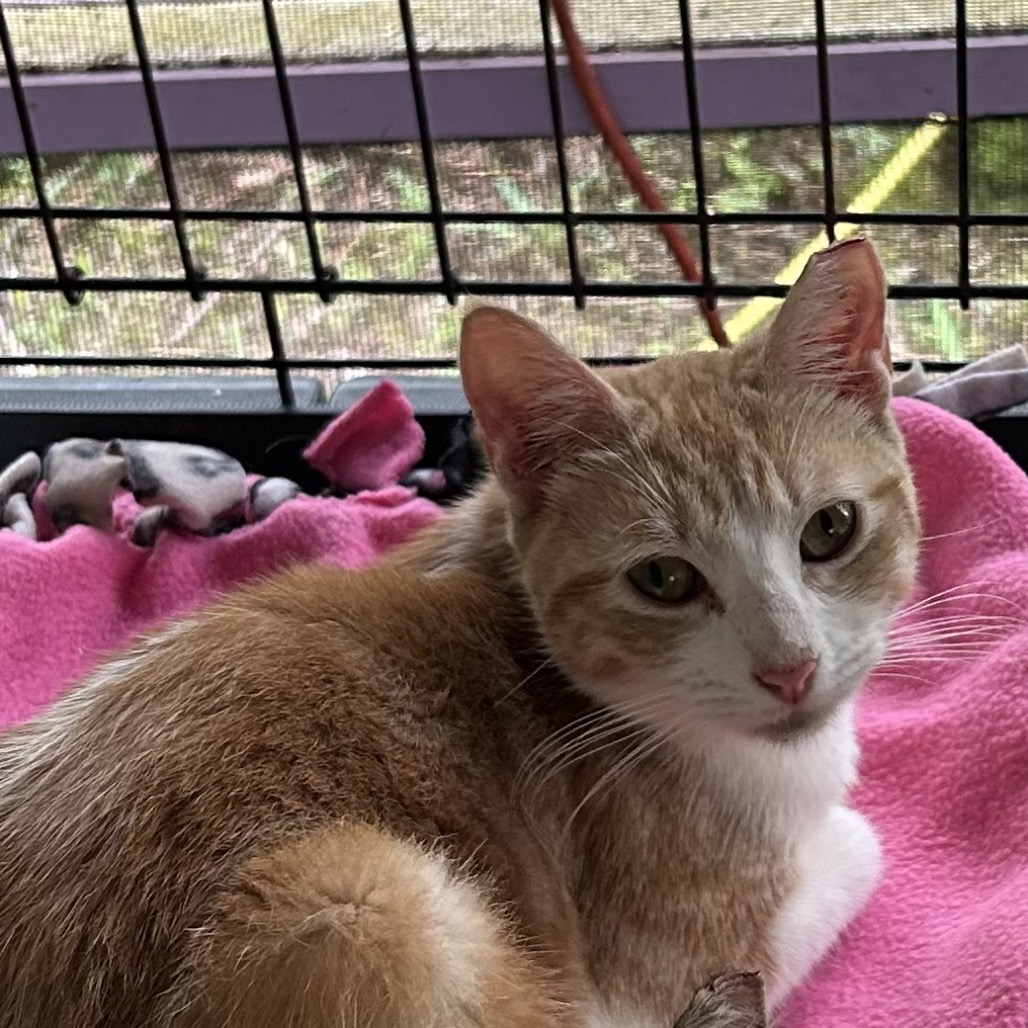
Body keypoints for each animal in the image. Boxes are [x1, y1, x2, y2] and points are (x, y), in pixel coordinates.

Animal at [0, 237, 919, 1028]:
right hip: (364, 900)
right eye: (663, 579)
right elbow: (863, 844)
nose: (791, 668)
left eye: (830, 529)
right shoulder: (650, 979)